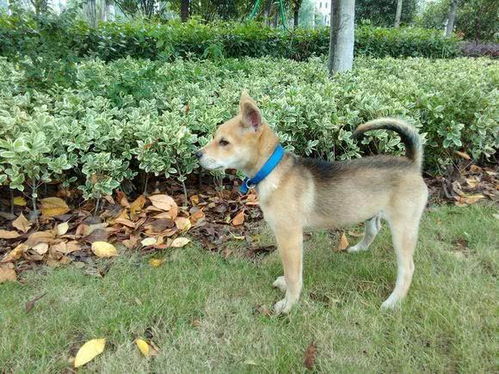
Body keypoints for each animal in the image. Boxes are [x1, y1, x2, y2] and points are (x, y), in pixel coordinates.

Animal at [197, 92, 428, 314]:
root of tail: (411, 164)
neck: (273, 171)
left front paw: (288, 304)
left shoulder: (289, 237)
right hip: (371, 212)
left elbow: (293, 274)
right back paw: (358, 249)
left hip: (403, 229)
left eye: (224, 142)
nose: (196, 154)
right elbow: (294, 272)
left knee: (407, 269)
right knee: (373, 230)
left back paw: (393, 302)